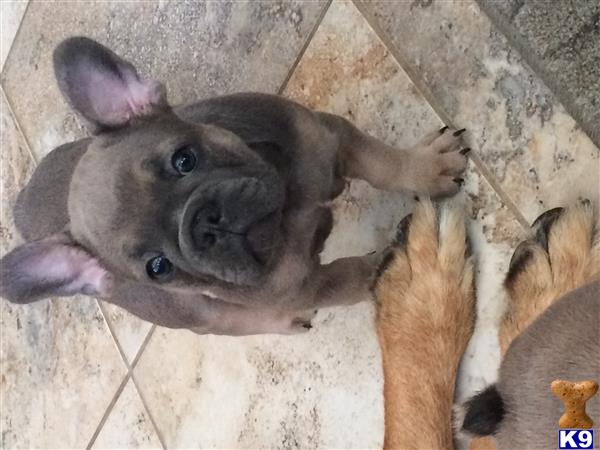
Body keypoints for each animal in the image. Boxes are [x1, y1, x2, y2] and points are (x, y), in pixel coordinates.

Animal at [0, 37, 468, 334]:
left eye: (184, 159)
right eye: (158, 268)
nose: (205, 224)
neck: (289, 213)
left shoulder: (330, 138)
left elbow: (383, 164)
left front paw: (429, 168)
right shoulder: (307, 286)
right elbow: (351, 276)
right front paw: (392, 264)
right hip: (205, 318)